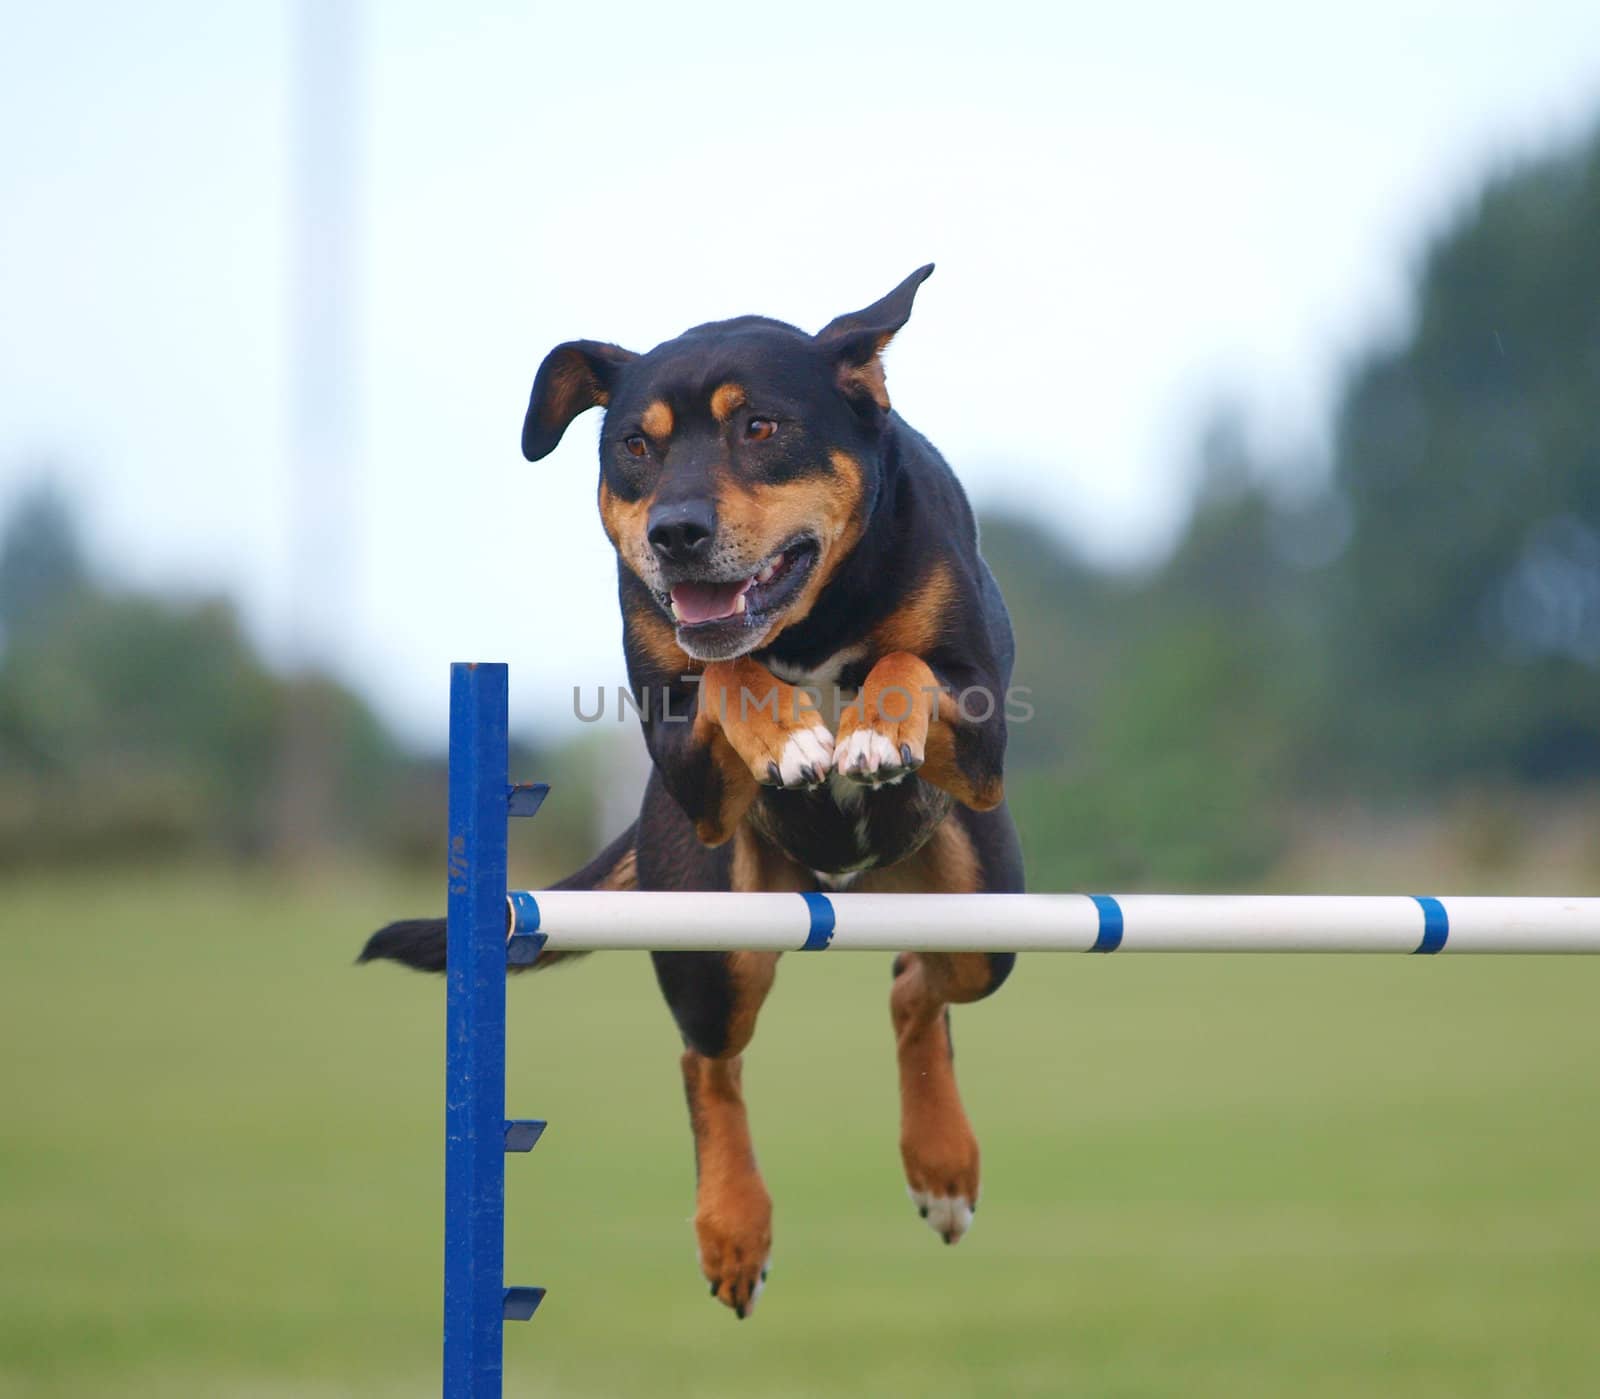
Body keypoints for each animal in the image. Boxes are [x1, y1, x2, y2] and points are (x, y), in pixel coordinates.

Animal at [363, 264, 1017, 1318]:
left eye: (760, 425)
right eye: (635, 444)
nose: (675, 532)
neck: (809, 614)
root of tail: (840, 883)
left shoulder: (982, 730)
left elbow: (903, 663)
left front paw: (868, 727)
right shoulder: (687, 762)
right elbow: (724, 673)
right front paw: (792, 736)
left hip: (984, 915)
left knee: (916, 983)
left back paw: (942, 1165)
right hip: (715, 934)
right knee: (708, 1056)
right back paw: (733, 1226)